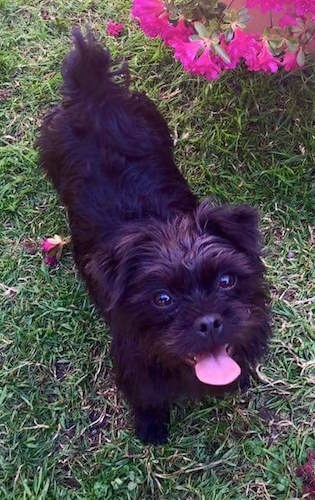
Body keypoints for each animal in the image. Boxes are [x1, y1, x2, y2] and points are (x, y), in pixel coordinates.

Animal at [39, 30, 272, 446]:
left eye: (226, 280)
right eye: (162, 299)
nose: (209, 322)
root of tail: (94, 94)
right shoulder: (133, 363)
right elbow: (146, 396)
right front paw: (151, 427)